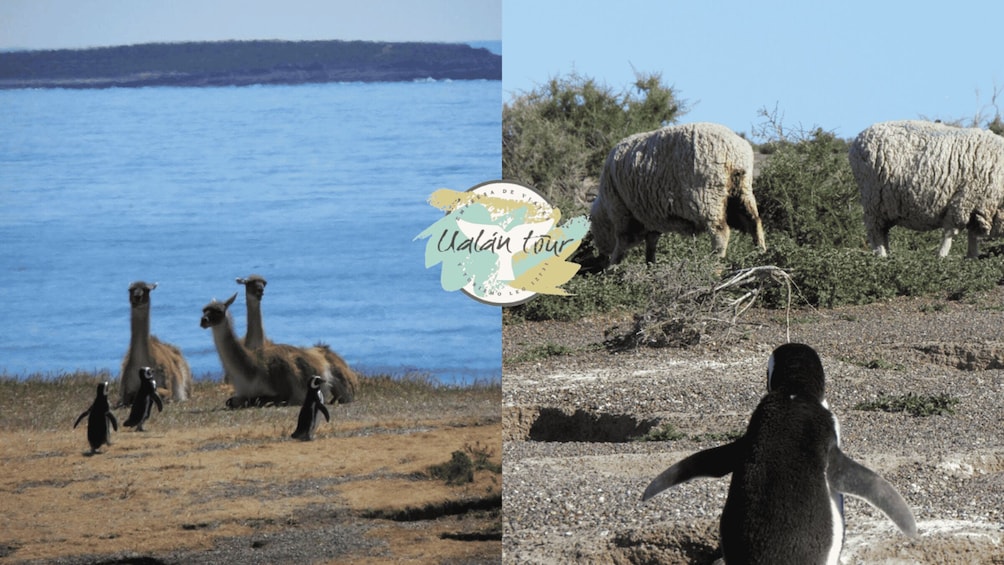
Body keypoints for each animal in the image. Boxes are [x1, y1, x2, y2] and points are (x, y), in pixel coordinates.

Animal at [197, 295, 335, 409]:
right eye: (204, 310)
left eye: (219, 311)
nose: (203, 320)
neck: (249, 372)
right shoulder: (241, 392)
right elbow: (232, 401)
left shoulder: (282, 388)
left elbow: (258, 400)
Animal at [586, 120, 763, 266]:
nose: (600, 256)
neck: (604, 210)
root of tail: (734, 149)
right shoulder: (652, 217)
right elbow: (651, 243)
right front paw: (650, 266)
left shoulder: (622, 213)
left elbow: (623, 244)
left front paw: (611, 269)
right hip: (742, 191)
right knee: (754, 222)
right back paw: (760, 255)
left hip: (708, 197)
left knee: (721, 233)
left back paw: (714, 266)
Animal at [851, 122, 1003, 258]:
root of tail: (858, 140)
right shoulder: (964, 201)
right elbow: (950, 233)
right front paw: (941, 257)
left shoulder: (977, 206)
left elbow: (972, 237)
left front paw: (973, 258)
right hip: (873, 199)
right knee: (875, 231)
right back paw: (881, 256)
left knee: (883, 232)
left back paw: (888, 256)